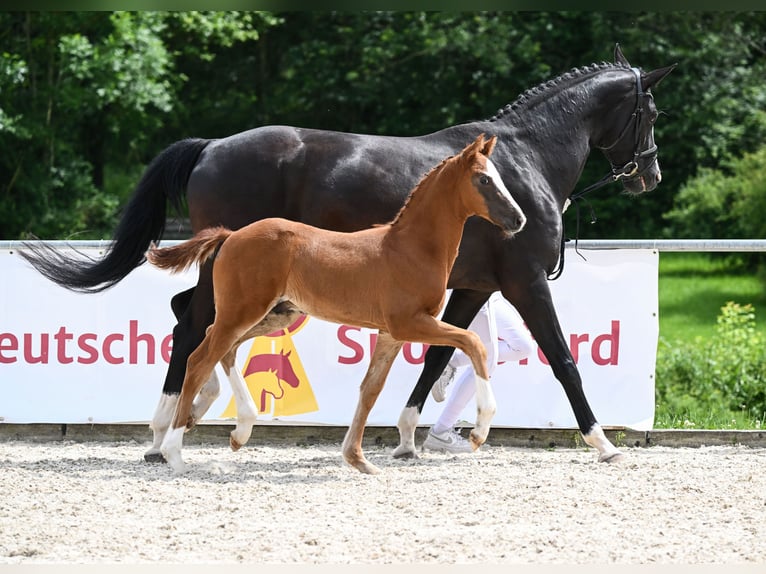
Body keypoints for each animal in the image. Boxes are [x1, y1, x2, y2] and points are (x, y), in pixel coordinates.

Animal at [146, 136, 528, 476]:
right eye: (484, 179)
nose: (519, 219)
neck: (411, 248)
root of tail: (230, 235)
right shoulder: (410, 323)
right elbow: (474, 344)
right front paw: (479, 431)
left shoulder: (390, 334)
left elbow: (370, 391)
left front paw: (358, 459)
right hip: (244, 311)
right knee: (199, 357)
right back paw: (173, 451)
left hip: (272, 314)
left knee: (223, 349)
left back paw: (238, 430)